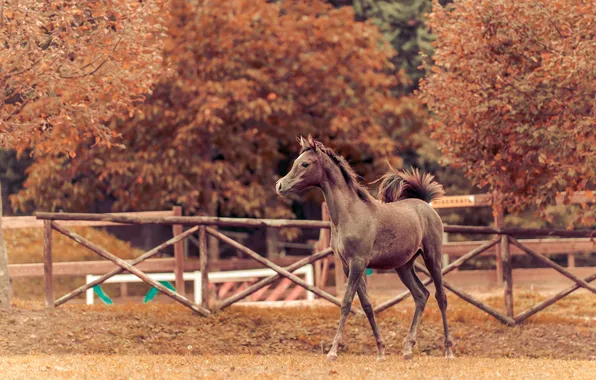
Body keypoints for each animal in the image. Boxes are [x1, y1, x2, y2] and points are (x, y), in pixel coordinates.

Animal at [278, 136, 454, 362]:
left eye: (305, 164)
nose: (280, 185)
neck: (350, 214)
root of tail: (425, 205)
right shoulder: (349, 266)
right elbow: (367, 305)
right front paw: (380, 352)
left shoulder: (358, 263)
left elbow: (346, 303)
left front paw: (333, 351)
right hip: (404, 266)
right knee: (421, 295)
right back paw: (407, 349)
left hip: (433, 258)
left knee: (441, 297)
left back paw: (448, 351)